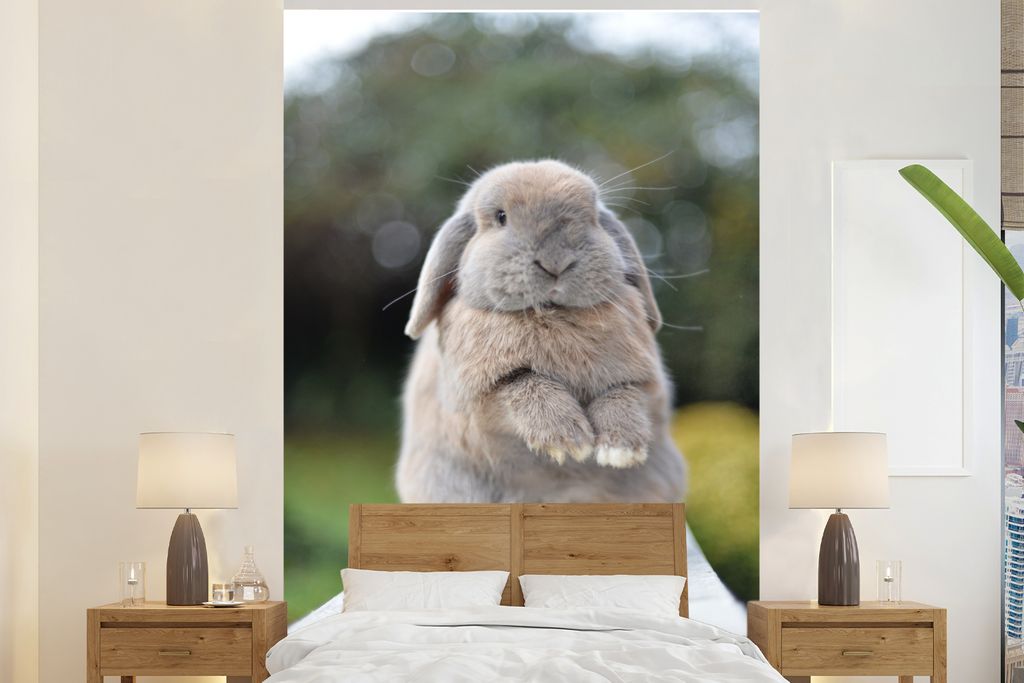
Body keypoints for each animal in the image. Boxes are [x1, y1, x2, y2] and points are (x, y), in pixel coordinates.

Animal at [396, 159, 686, 504]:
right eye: (501, 216)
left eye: (592, 215)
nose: (556, 262)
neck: (552, 314)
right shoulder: (479, 398)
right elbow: (525, 385)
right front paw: (569, 442)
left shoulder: (642, 381)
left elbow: (622, 396)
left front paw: (621, 450)